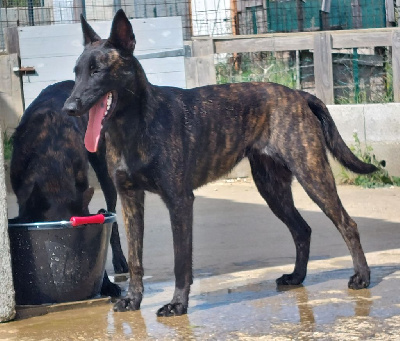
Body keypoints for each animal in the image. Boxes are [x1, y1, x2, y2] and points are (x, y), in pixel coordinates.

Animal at [10, 79, 128, 294]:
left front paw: (105, 283)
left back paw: (120, 260)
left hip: (103, 166)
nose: (70, 270)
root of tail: (69, 82)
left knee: (112, 211)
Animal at [63, 8, 378, 316]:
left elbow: (181, 261)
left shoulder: (179, 201)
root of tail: (300, 94)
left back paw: (362, 277)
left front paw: (178, 304)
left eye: (97, 71)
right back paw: (296, 277)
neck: (134, 124)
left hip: (312, 175)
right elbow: (136, 259)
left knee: (347, 224)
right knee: (302, 229)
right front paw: (133, 299)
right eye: (76, 72)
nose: (68, 107)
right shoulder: (130, 199)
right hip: (272, 188)